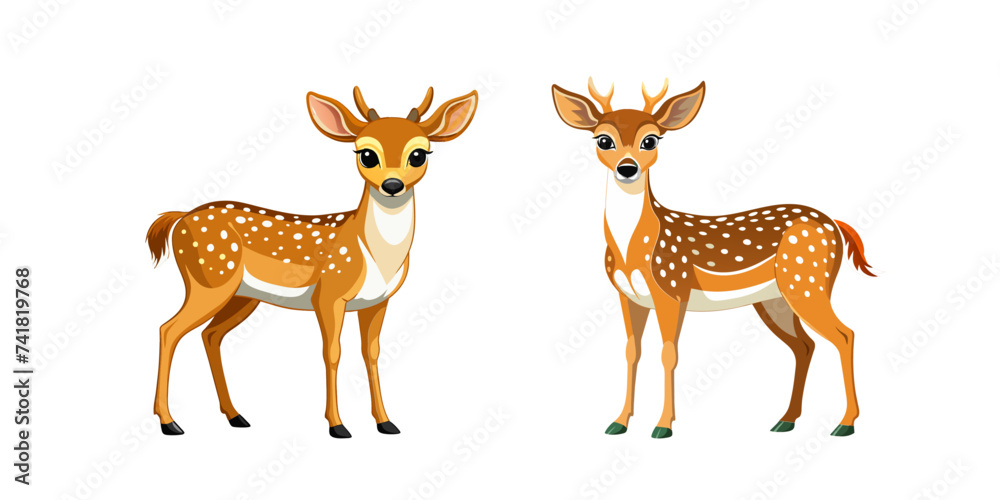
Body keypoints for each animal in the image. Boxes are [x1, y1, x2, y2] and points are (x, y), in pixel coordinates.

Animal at [145, 86, 478, 438]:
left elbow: (372, 353)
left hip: (242, 295)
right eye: (366, 154)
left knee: (210, 335)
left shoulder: (378, 301)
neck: (373, 254)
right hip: (209, 280)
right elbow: (332, 352)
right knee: (168, 329)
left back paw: (236, 416)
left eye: (419, 154)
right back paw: (169, 422)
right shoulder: (329, 294)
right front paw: (338, 425)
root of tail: (180, 218)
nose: (392, 185)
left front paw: (386, 422)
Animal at [551, 78, 875, 439]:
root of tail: (834, 224)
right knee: (804, 345)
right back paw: (785, 420)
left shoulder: (673, 289)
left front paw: (663, 426)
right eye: (603, 139)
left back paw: (845, 423)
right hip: (776, 299)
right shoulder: (628, 296)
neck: (632, 251)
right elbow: (631, 352)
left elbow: (669, 353)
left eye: (651, 139)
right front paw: (619, 422)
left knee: (845, 334)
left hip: (807, 281)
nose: (627, 168)